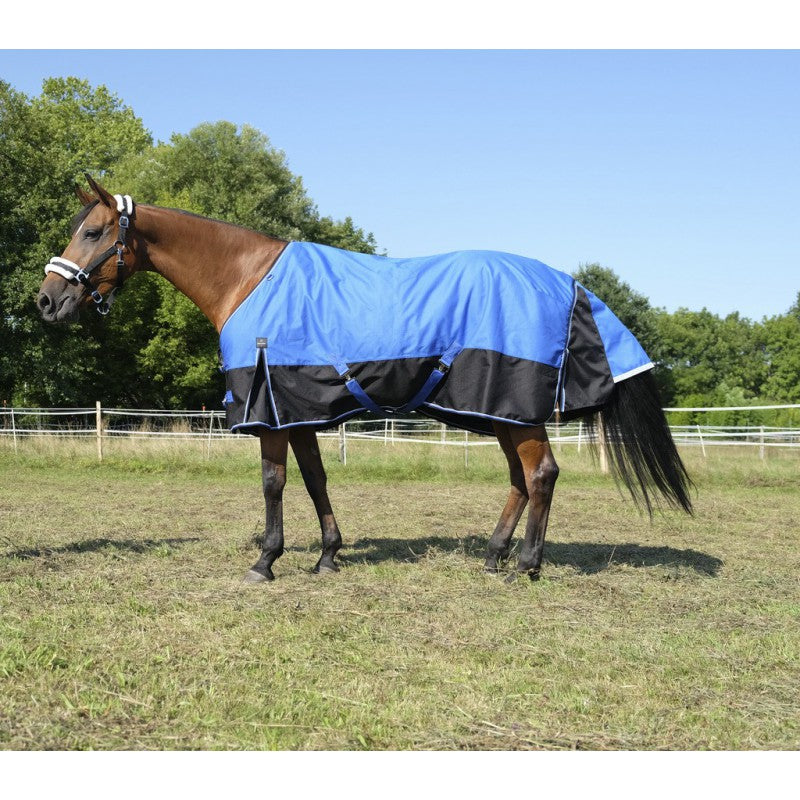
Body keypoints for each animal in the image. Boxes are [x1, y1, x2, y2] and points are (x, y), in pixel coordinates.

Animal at [37, 175, 692, 584]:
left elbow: (274, 483)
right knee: (519, 479)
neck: (247, 279)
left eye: (92, 233)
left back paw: (527, 565)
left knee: (542, 475)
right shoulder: (297, 407)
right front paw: (328, 556)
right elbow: (315, 480)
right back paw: (494, 557)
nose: (46, 301)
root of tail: (568, 283)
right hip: (502, 413)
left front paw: (265, 562)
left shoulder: (270, 409)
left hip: (516, 408)